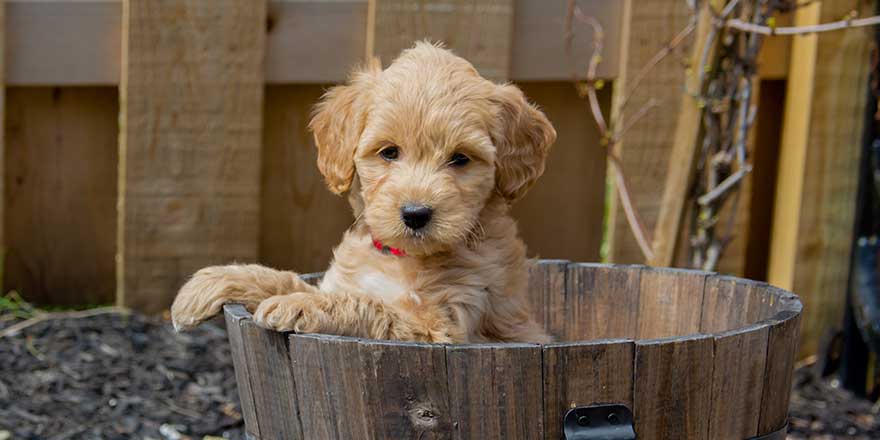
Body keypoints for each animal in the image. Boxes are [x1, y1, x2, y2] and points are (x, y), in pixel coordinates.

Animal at [171, 42, 552, 344]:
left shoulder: (441, 326)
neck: (400, 257)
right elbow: (283, 279)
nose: (415, 214)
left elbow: (368, 305)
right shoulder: (344, 282)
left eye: (461, 158)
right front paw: (206, 284)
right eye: (389, 152)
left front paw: (300, 305)